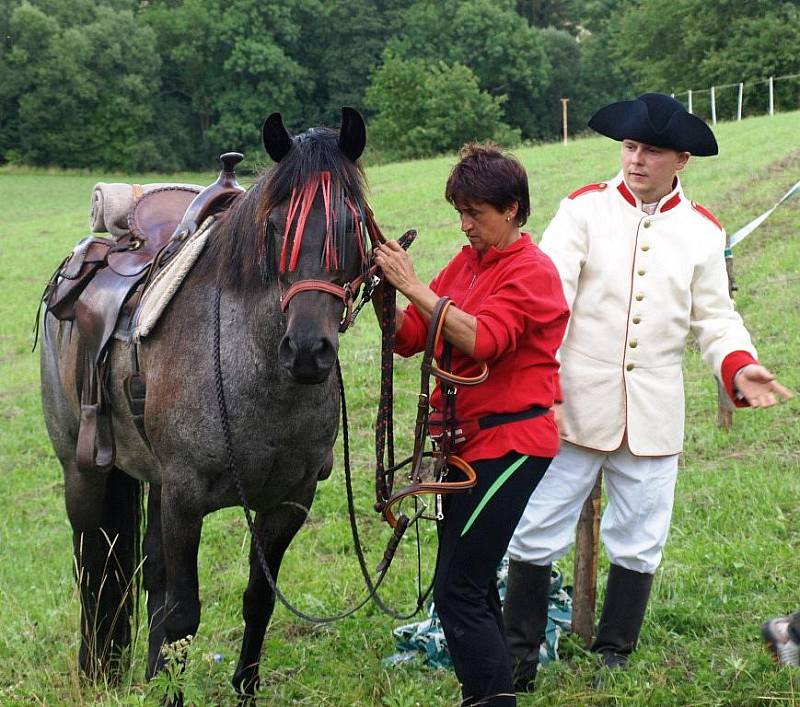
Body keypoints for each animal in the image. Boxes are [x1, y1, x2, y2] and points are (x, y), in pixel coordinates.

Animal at [40, 109, 382, 704]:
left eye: (350, 224)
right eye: (275, 227)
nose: (308, 351)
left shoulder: (288, 502)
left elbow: (257, 600)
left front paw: (241, 687)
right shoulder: (185, 498)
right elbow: (183, 614)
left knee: (147, 572)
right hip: (83, 471)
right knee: (92, 563)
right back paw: (95, 670)